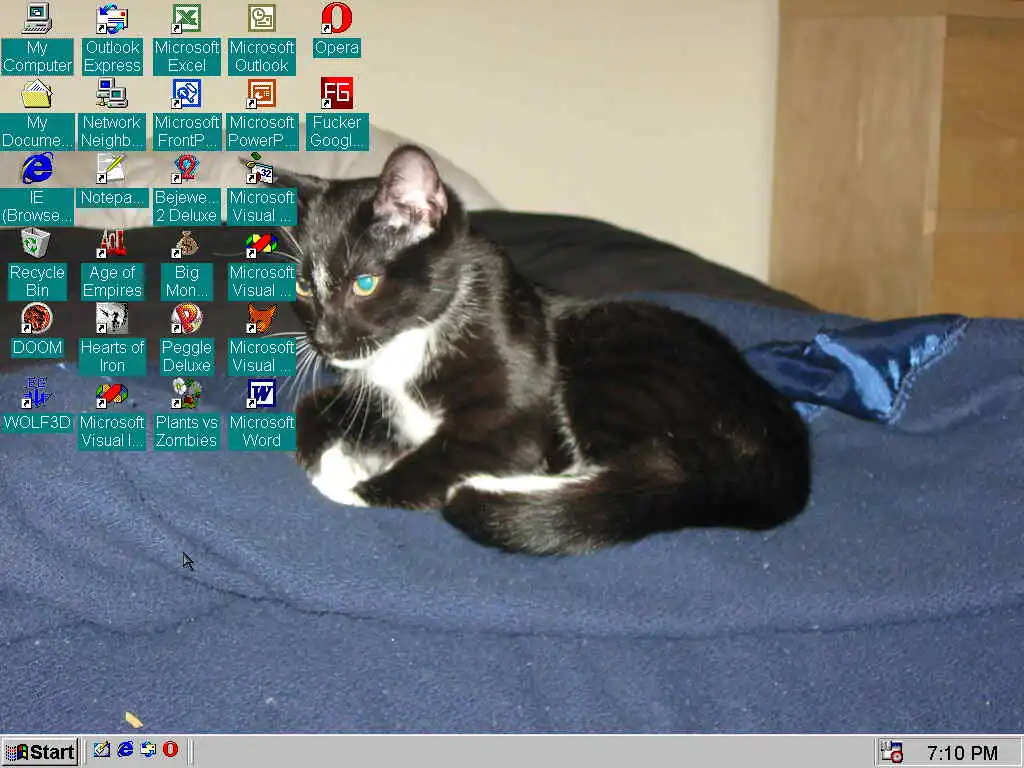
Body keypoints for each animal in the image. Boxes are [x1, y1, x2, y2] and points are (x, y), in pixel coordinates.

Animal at [272, 145, 811, 556]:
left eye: (364, 283)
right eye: (302, 285)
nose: (324, 339)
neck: (412, 343)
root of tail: (778, 443)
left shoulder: (512, 413)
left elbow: (446, 457)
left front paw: (348, 485)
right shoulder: (383, 396)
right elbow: (313, 405)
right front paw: (334, 455)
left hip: (620, 363)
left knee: (650, 472)